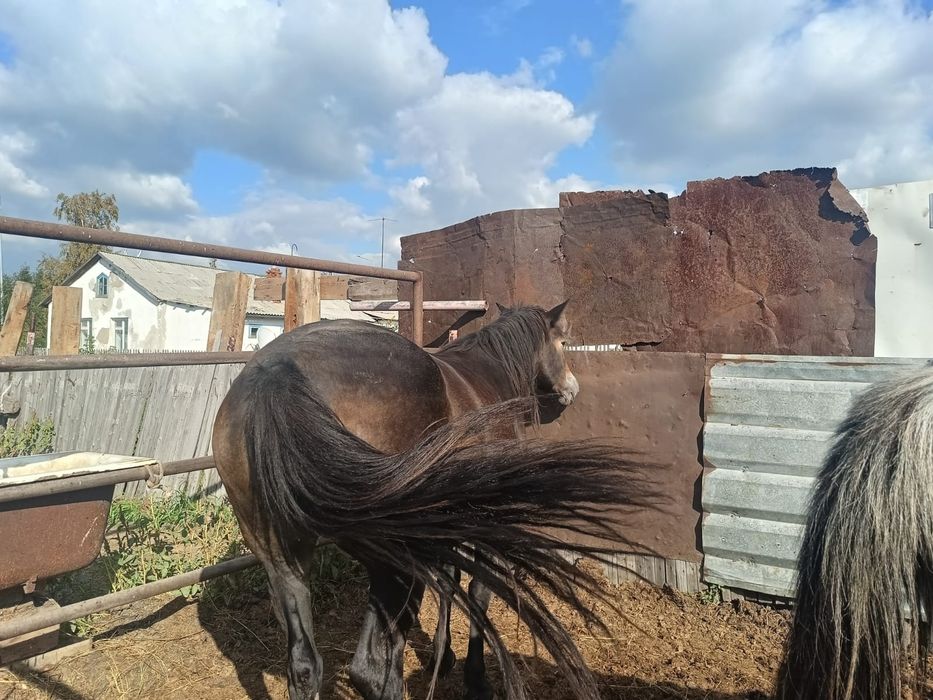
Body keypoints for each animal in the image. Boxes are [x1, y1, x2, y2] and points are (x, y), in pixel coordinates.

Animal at [211, 302, 656, 700]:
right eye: (563, 342)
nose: (572, 388)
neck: (487, 379)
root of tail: (279, 372)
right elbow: (477, 592)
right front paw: (475, 680)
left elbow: (449, 581)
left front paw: (442, 659)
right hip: (390, 557)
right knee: (371, 668)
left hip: (283, 559)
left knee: (306, 667)